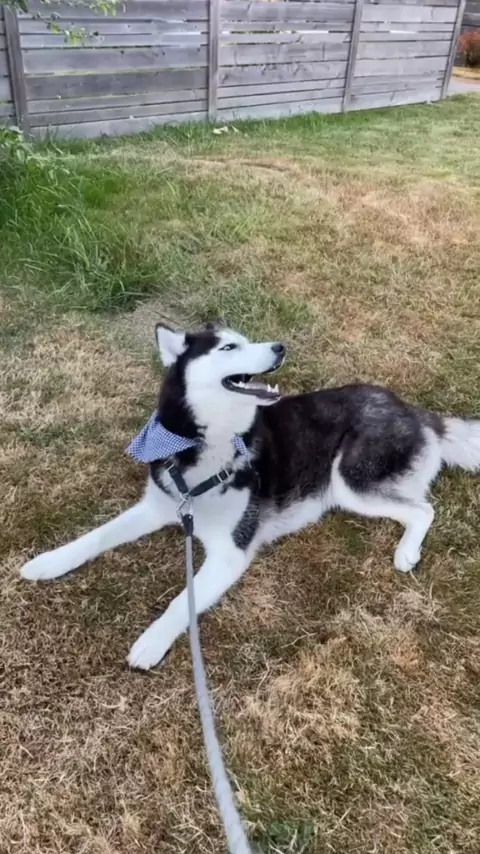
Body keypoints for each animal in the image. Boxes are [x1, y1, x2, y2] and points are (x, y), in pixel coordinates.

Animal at [21, 323, 480, 670]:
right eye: (229, 346)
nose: (280, 346)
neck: (204, 445)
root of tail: (415, 411)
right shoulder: (157, 506)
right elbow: (95, 536)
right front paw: (48, 562)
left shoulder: (229, 552)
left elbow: (180, 601)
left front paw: (151, 642)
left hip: (349, 482)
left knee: (423, 509)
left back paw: (406, 553)